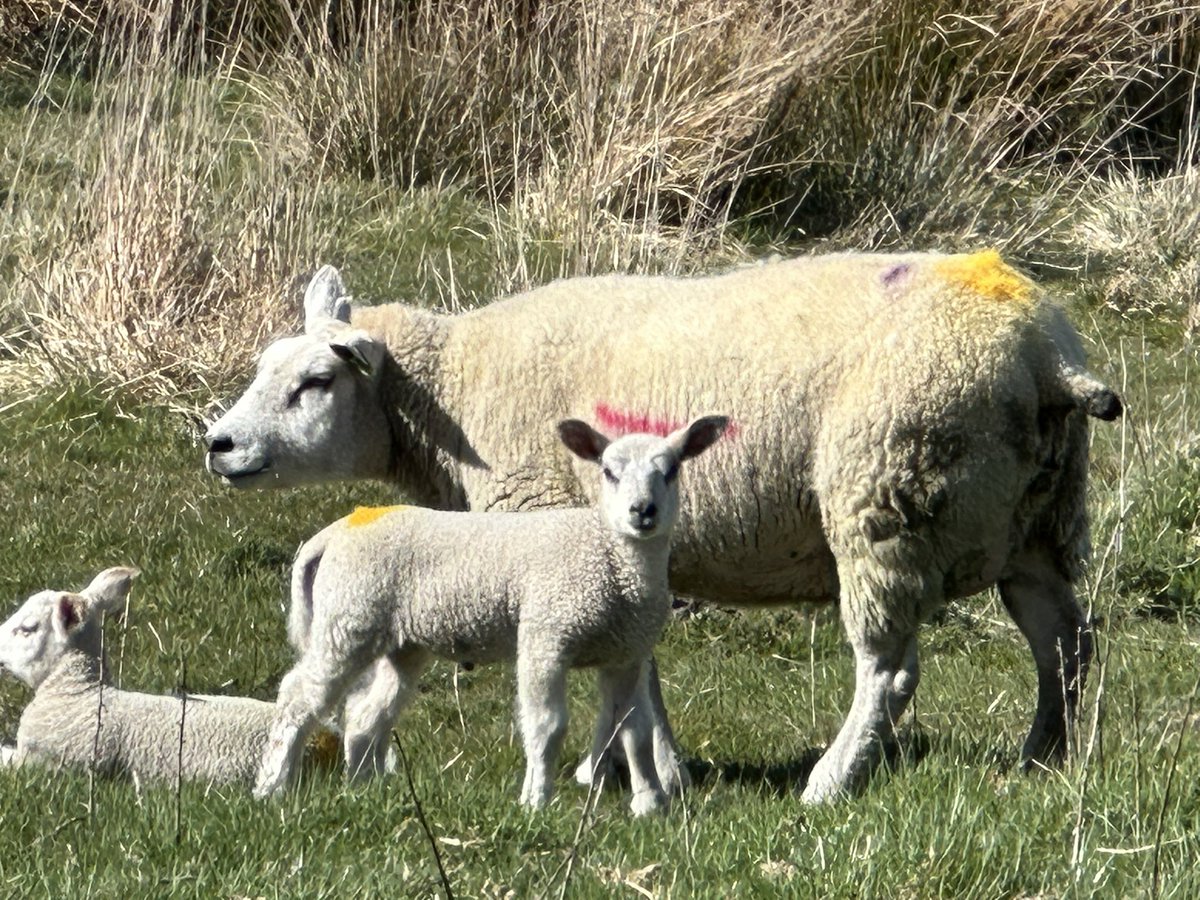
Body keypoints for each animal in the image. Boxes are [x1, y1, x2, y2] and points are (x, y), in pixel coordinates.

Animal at [253, 415, 727, 815]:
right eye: (609, 472)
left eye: (671, 470)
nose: (642, 511)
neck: (611, 557)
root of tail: (333, 533)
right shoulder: (545, 636)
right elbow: (547, 726)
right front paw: (536, 801)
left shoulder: (625, 653)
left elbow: (634, 730)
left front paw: (649, 804)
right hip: (348, 620)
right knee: (298, 697)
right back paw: (272, 786)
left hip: (399, 642)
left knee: (367, 715)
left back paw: (363, 788)